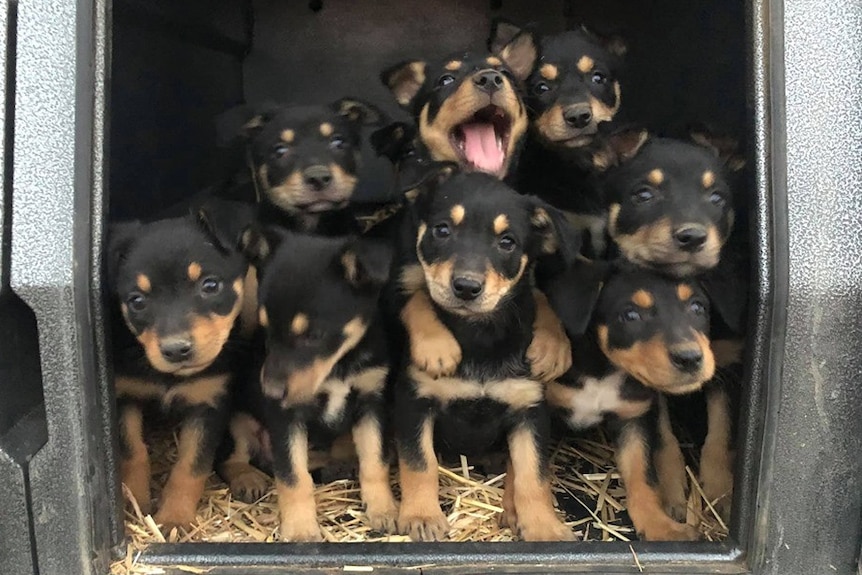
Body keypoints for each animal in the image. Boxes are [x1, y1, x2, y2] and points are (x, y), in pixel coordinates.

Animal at [106, 200, 251, 532]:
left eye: (210, 285)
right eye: (137, 301)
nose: (175, 350)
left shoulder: (209, 403)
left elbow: (190, 465)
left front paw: (175, 518)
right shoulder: (124, 396)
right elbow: (133, 452)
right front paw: (135, 504)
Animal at [235, 228, 400, 540]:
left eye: (314, 335)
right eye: (266, 328)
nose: (270, 392)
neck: (337, 367)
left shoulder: (372, 403)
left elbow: (375, 462)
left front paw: (383, 509)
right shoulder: (286, 416)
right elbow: (293, 477)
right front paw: (300, 529)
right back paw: (246, 478)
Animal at [394, 171, 576, 544]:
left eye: (507, 242)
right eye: (442, 230)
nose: (466, 287)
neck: (480, 337)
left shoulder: (529, 411)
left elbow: (533, 475)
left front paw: (543, 527)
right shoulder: (414, 402)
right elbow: (420, 463)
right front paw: (421, 517)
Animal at [548, 264, 716, 544]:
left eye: (697, 307)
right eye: (630, 314)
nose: (690, 358)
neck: (603, 371)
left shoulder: (632, 417)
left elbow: (641, 475)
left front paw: (659, 526)